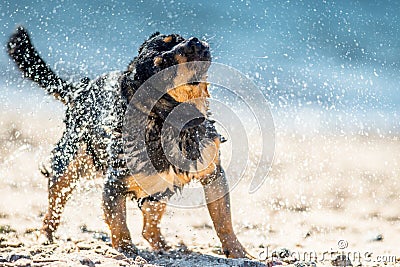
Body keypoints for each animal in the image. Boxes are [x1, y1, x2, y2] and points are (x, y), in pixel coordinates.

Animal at [7, 26, 250, 260]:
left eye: (176, 39)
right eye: (163, 65)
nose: (193, 42)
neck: (167, 120)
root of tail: (80, 91)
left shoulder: (213, 174)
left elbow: (223, 220)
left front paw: (237, 251)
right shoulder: (114, 184)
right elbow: (118, 222)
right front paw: (126, 250)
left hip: (157, 191)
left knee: (149, 228)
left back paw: (166, 247)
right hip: (69, 165)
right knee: (54, 206)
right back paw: (45, 236)